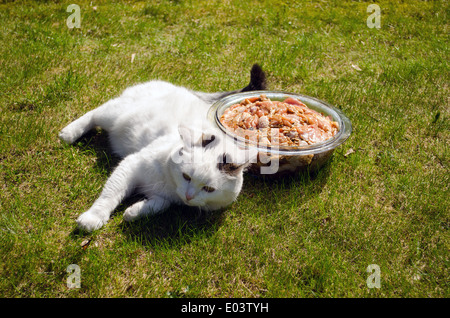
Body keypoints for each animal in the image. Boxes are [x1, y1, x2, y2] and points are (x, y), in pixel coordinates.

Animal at [58, 64, 266, 231]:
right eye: (186, 176)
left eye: (208, 189)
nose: (189, 196)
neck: (169, 184)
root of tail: (186, 90)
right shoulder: (131, 164)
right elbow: (110, 194)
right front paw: (93, 218)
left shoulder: (167, 198)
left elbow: (160, 204)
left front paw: (134, 211)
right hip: (113, 115)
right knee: (94, 113)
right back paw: (68, 133)